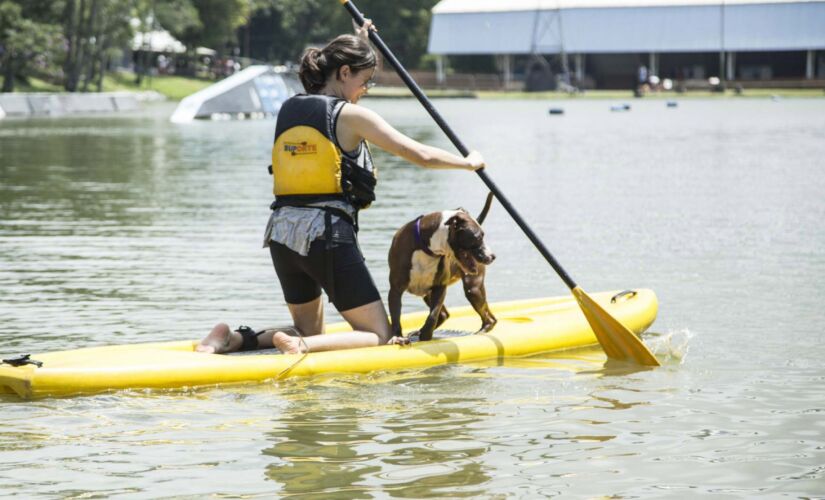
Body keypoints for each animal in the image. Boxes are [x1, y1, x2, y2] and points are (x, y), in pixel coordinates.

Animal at [388, 193, 496, 342]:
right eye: (478, 236)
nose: (492, 256)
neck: (428, 249)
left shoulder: (440, 287)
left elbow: (433, 315)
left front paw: (426, 336)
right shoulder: (395, 289)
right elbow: (395, 316)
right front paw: (398, 337)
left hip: (473, 288)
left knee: (490, 319)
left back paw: (479, 333)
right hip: (430, 294)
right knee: (445, 314)